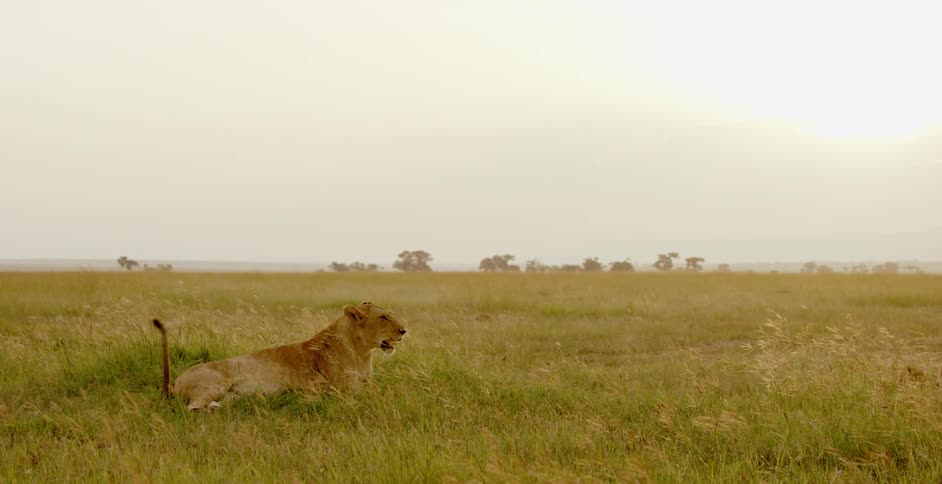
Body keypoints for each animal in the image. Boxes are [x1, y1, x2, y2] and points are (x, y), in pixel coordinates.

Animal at [152, 301, 407, 410]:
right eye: (384, 317)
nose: (404, 330)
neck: (362, 353)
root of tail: (175, 382)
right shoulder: (346, 389)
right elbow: (385, 392)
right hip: (215, 383)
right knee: (193, 408)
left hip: (231, 394)